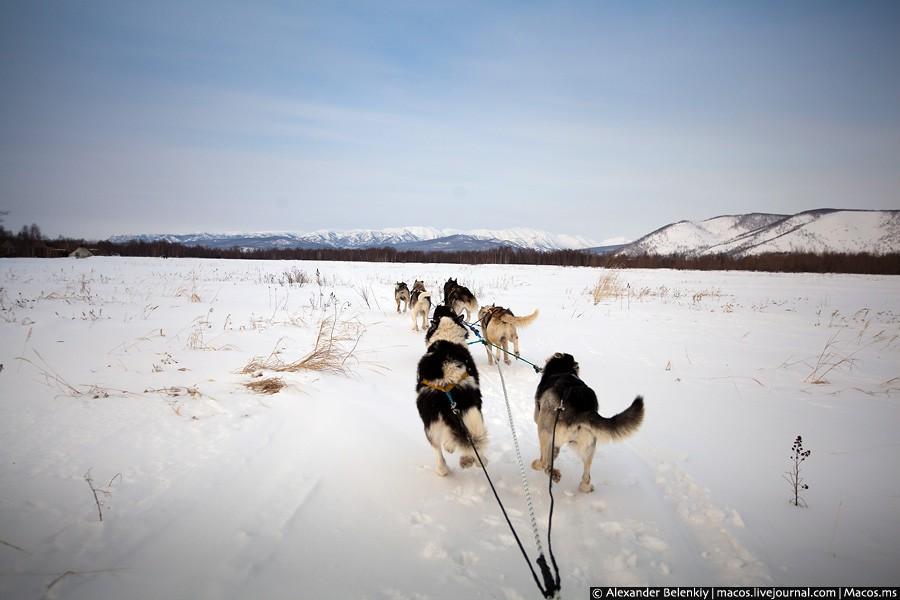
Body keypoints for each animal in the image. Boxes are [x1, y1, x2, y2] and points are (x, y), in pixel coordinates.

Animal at [414, 308, 486, 476]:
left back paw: (445, 468)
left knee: (438, 451)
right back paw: (474, 460)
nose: (441, 305)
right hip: (472, 410)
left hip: (430, 421)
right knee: (467, 440)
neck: (446, 335)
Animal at [532, 352, 644, 492]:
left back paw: (539, 466)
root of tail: (582, 410)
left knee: (544, 461)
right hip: (588, 446)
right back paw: (583, 486)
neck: (563, 369)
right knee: (585, 475)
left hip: (544, 431)